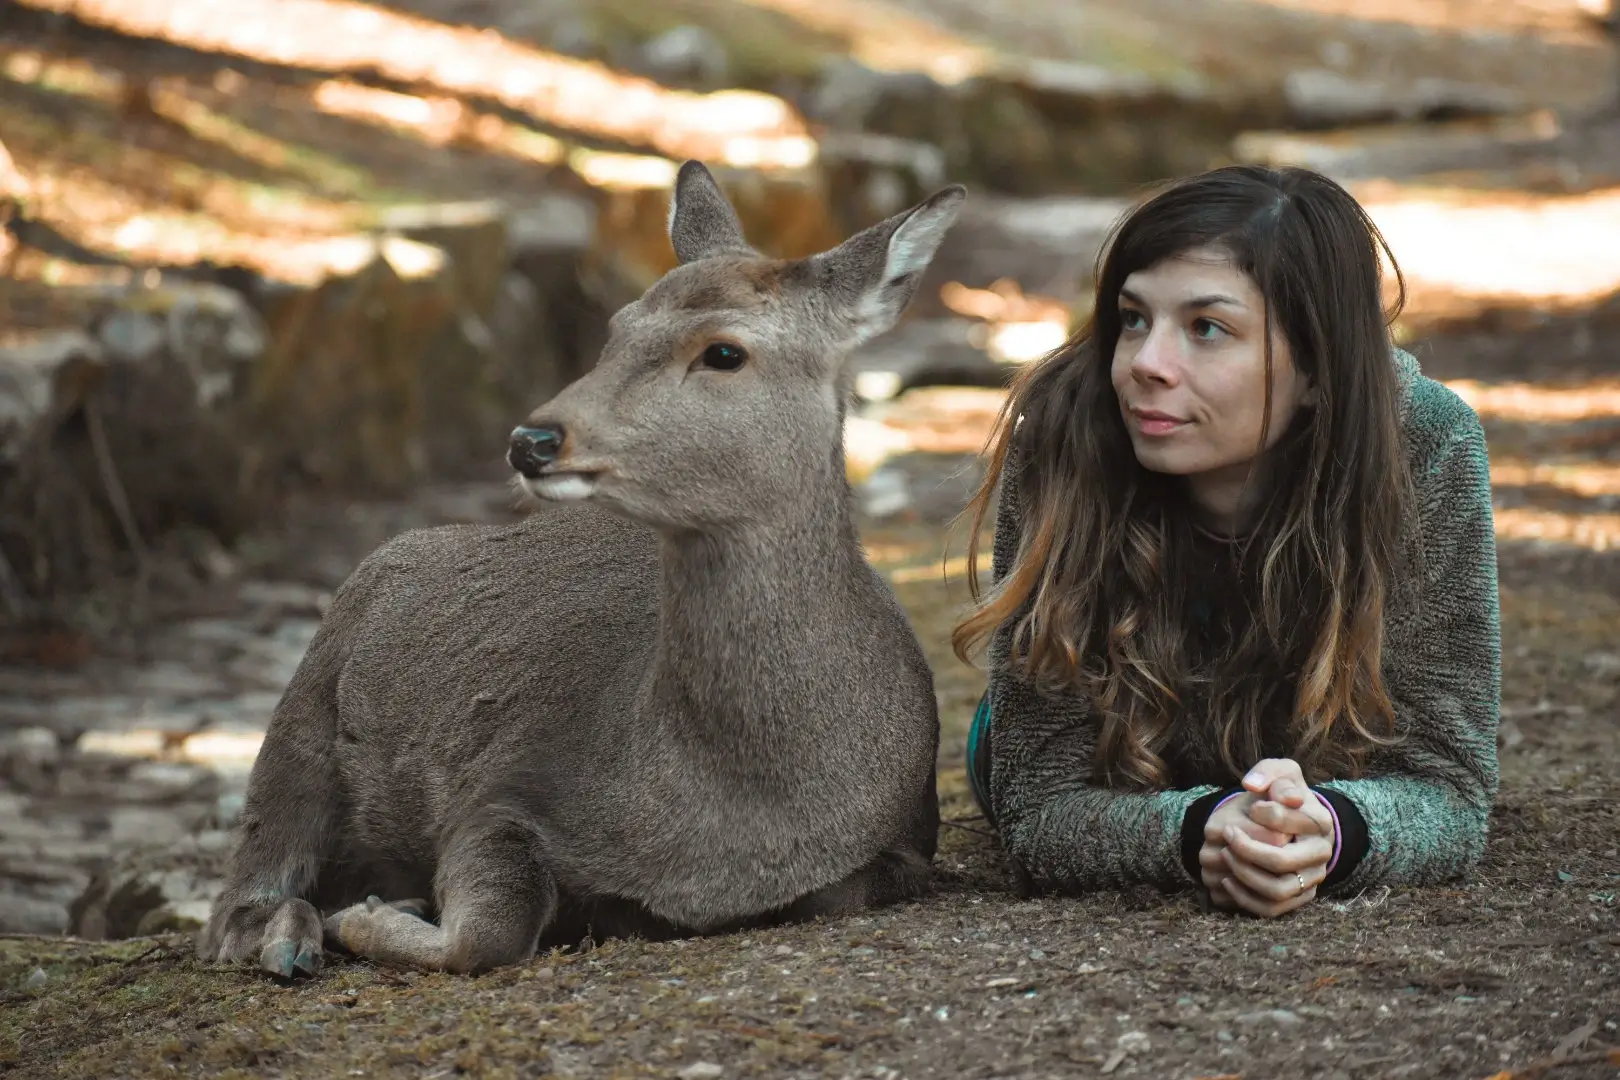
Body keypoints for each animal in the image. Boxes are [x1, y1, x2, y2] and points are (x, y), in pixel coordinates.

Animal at [197, 160, 965, 977]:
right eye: (617, 327)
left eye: (725, 351)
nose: (531, 440)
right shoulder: (506, 784)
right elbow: (491, 929)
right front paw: (372, 915)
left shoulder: (904, 841)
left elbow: (842, 891)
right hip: (307, 699)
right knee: (243, 884)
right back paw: (291, 937)